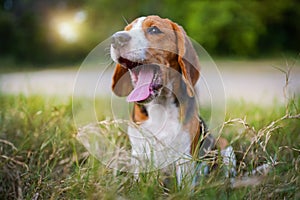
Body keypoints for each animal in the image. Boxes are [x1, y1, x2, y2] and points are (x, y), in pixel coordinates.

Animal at [109, 15, 234, 188]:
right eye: (127, 30)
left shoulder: (184, 159)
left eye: (154, 29)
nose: (116, 38)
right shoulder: (139, 155)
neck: (160, 108)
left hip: (226, 147)